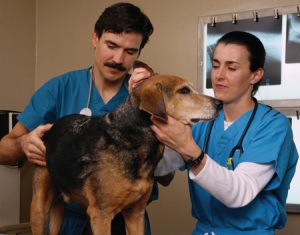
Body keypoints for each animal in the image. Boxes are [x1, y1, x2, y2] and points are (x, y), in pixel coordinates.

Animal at [29, 68, 220, 235]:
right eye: (184, 91)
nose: (219, 103)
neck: (131, 138)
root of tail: (51, 129)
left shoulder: (135, 214)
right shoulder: (101, 215)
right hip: (39, 208)